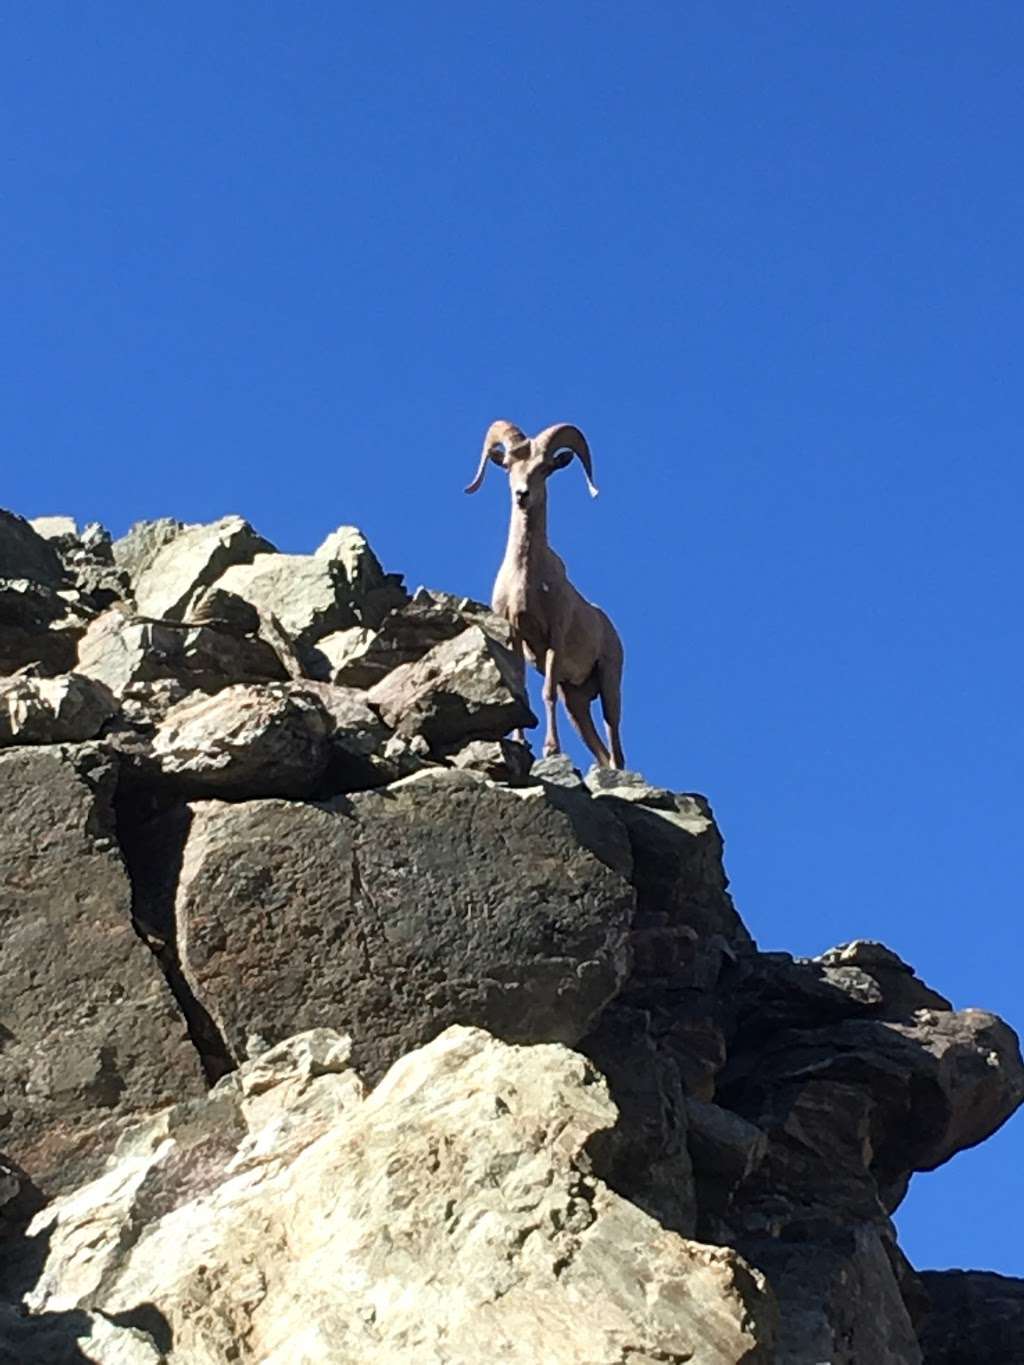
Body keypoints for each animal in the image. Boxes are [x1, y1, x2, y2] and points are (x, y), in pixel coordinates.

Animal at [466, 417, 625, 769]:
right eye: (509, 466)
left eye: (544, 468)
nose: (522, 495)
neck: (525, 581)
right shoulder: (516, 636)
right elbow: (521, 689)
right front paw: (521, 742)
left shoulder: (554, 638)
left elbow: (546, 692)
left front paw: (551, 749)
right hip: (576, 702)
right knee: (600, 749)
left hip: (610, 686)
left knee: (615, 741)